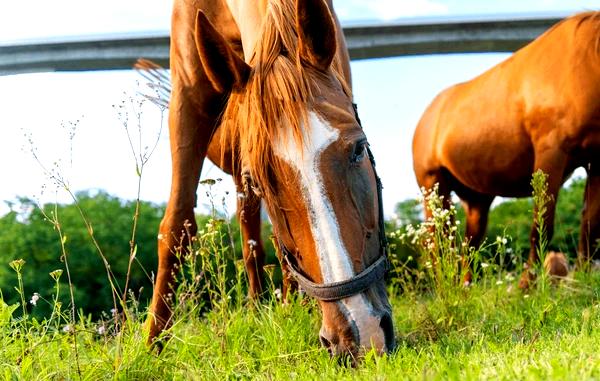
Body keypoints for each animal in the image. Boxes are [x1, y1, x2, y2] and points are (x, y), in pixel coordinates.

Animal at [148, 0, 396, 356]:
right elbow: (177, 225)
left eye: (359, 148)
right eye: (261, 182)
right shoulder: (188, 96)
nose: (359, 334)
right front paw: (152, 343)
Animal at [412, 11, 600, 288]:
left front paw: (584, 279)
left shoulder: (597, 161)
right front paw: (527, 286)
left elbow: (589, 223)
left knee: (468, 247)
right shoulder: (550, 152)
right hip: (433, 185)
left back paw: (465, 289)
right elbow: (541, 226)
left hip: (476, 200)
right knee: (439, 243)